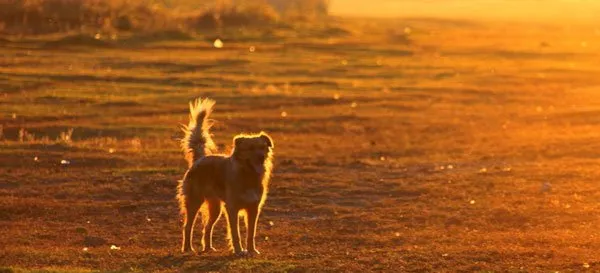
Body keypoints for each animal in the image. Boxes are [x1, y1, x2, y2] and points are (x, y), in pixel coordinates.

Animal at [176, 98, 274, 255]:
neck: (247, 176)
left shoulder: (253, 208)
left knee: (207, 227)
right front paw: (239, 251)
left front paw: (251, 250)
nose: (261, 157)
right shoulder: (232, 208)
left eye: (262, 147)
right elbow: (235, 233)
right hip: (194, 202)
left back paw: (208, 247)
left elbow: (251, 233)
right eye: (250, 148)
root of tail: (200, 158)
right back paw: (188, 249)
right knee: (187, 227)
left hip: (216, 208)